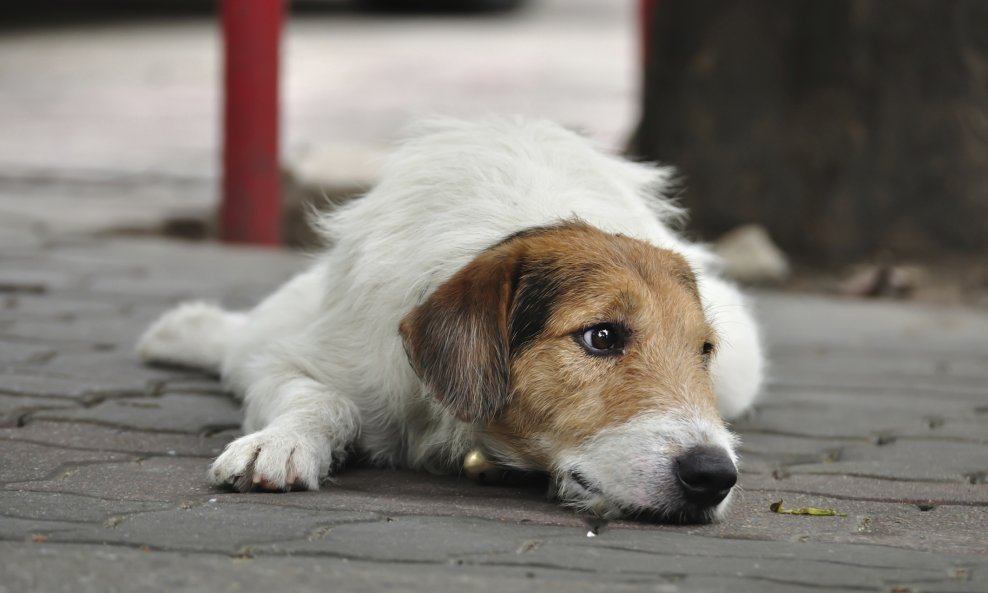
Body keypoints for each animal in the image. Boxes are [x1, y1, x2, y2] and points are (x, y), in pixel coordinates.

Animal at [139, 115, 764, 524]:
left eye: (704, 351)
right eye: (602, 336)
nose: (714, 476)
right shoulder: (314, 360)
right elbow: (318, 397)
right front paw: (282, 443)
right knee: (244, 339)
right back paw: (178, 331)